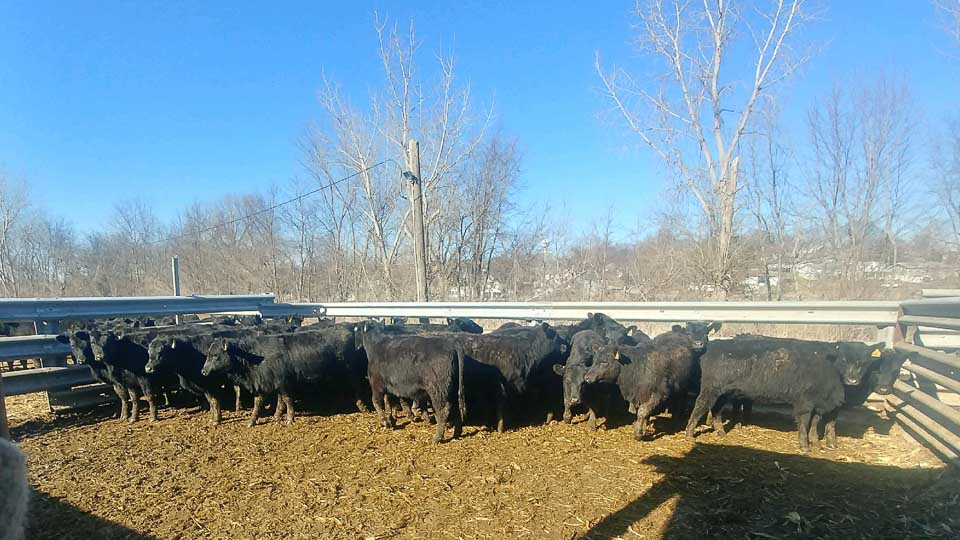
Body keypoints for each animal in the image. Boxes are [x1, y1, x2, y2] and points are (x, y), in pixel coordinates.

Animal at [201, 325, 366, 427]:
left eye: (215, 355)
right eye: (208, 354)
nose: (203, 371)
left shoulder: (283, 383)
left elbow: (286, 400)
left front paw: (289, 418)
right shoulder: (265, 384)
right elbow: (261, 403)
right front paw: (255, 420)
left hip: (352, 373)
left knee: (358, 387)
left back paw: (362, 406)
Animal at [685, 337, 847, 452]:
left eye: (852, 361)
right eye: (844, 359)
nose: (851, 379)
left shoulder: (821, 406)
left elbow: (817, 424)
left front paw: (819, 444)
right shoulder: (805, 403)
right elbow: (804, 423)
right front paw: (805, 446)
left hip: (724, 392)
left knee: (716, 409)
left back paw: (721, 432)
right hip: (710, 389)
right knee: (700, 406)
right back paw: (689, 433)